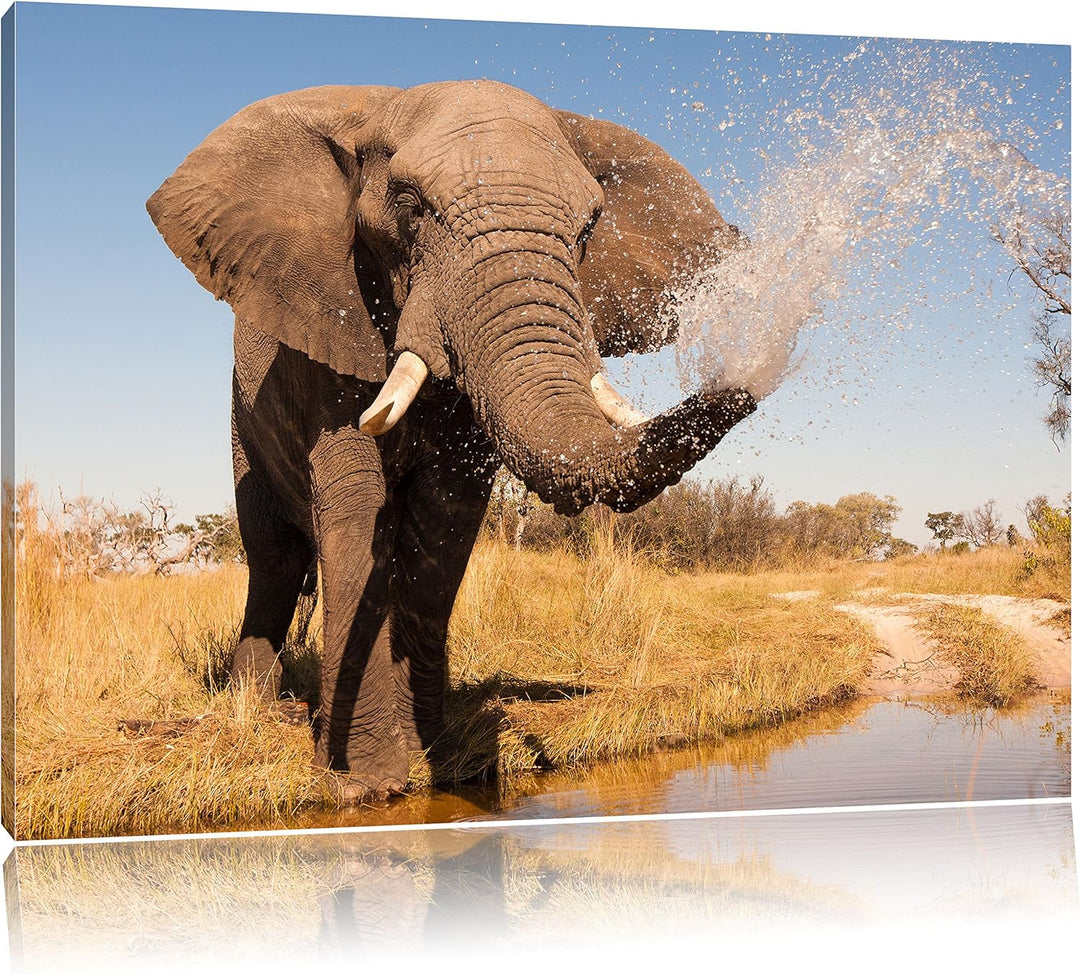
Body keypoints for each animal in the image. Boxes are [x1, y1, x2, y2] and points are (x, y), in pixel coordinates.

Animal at [147, 80, 756, 803]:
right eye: (410, 207)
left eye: (587, 230)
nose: (749, 378)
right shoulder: (332, 321)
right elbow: (358, 504)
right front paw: (365, 784)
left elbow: (446, 515)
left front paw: (436, 754)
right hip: (244, 425)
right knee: (272, 556)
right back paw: (255, 705)